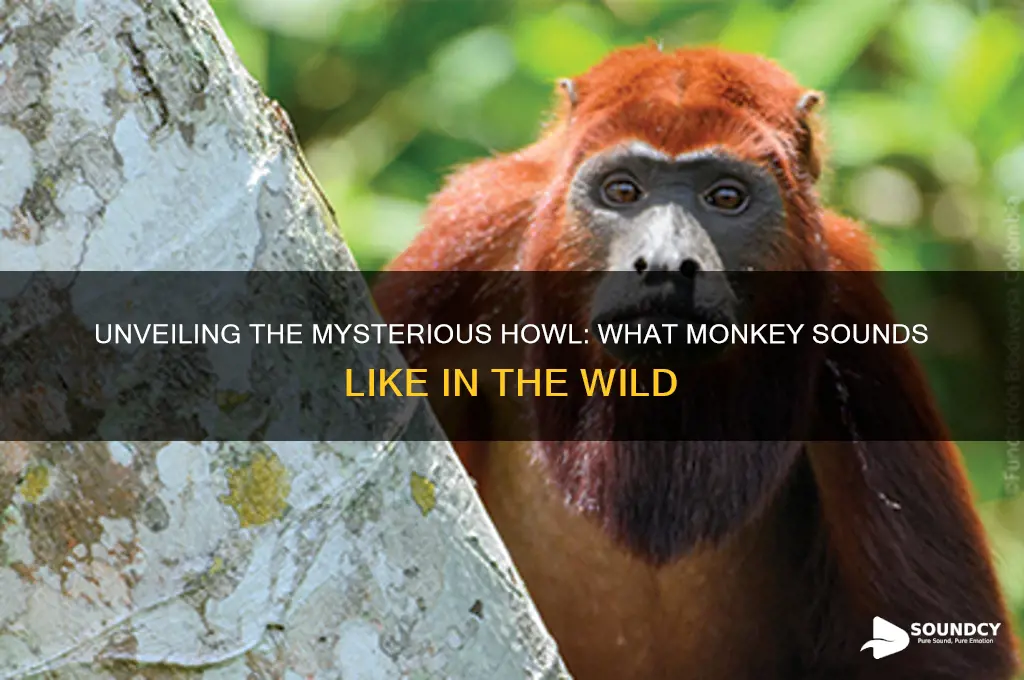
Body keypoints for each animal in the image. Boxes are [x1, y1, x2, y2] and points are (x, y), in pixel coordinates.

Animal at [373, 45, 1020, 679]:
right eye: (623, 191)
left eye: (726, 198)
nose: (664, 262)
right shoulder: (468, 240)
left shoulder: (852, 309)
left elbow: (939, 639)